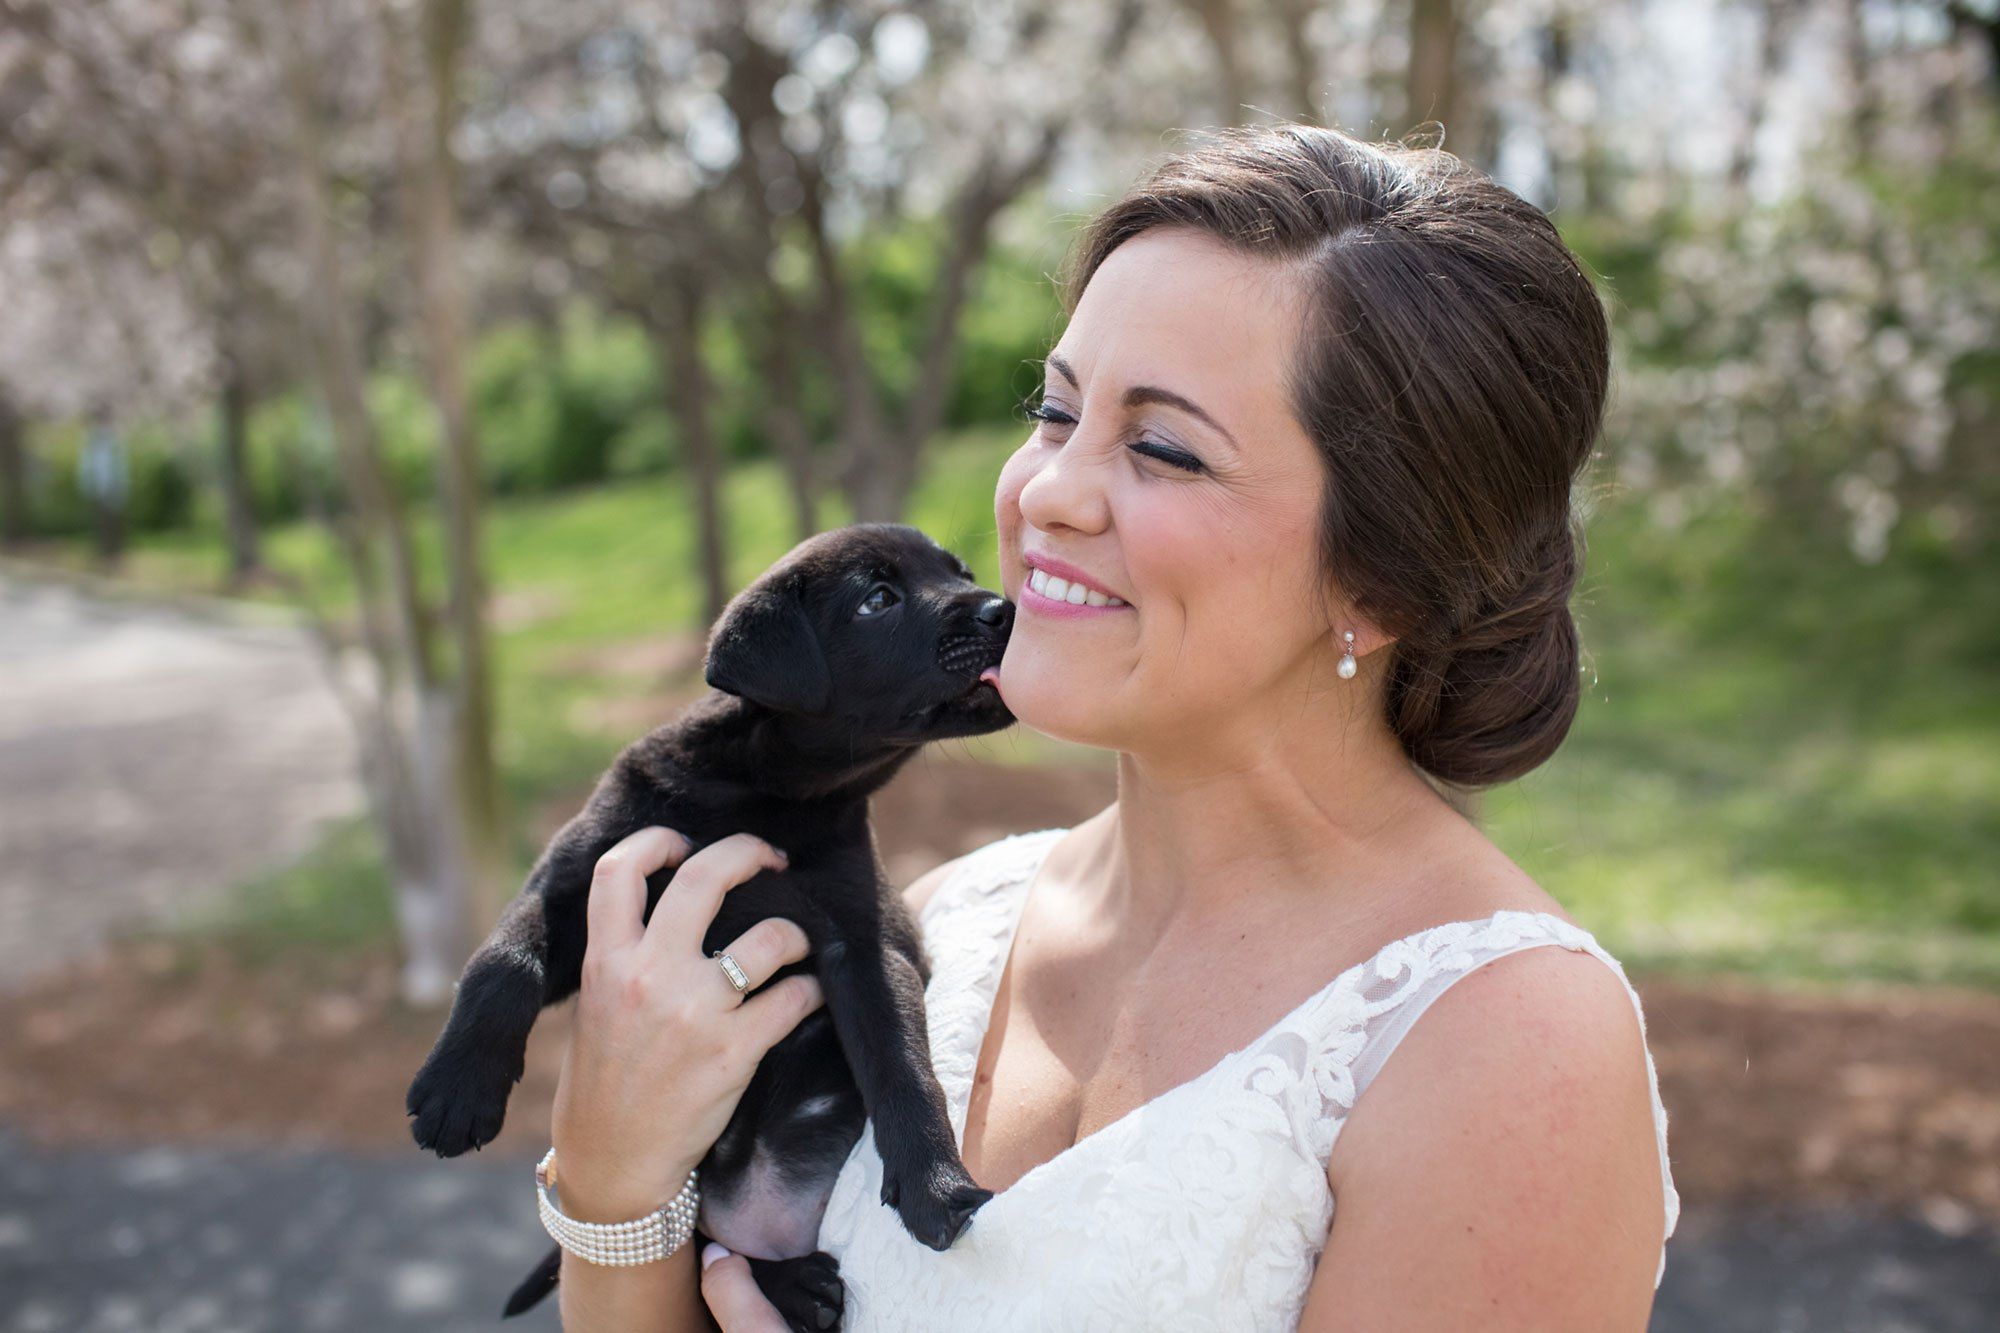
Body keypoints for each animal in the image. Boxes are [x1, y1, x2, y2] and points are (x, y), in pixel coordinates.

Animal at [402, 524, 1016, 1320]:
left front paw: (935, 1182)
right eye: (878, 599)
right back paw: (793, 1284)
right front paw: (457, 1090)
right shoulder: (573, 886)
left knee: (712, 1254)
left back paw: (795, 1285)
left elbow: (904, 1065)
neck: (762, 794)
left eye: (960, 573)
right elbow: (504, 962)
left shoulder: (864, 943)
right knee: (702, 1247)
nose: (1004, 609)